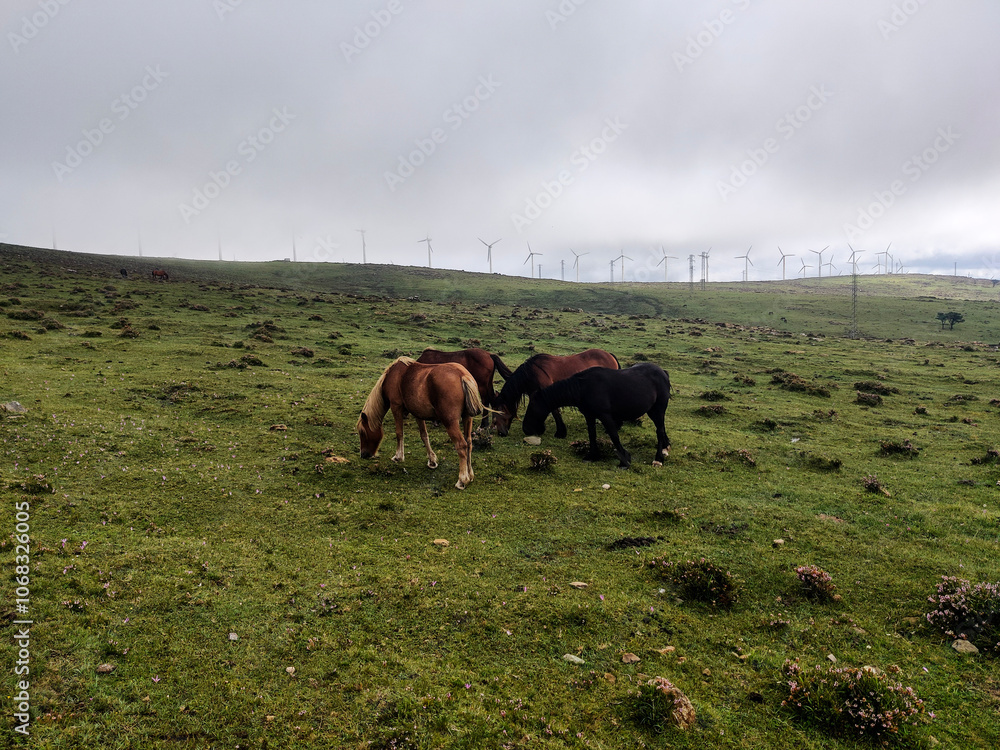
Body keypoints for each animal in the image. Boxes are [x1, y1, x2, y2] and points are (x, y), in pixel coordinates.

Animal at [356, 357, 485, 490]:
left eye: (363, 433)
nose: (363, 454)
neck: (392, 376)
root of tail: (462, 375)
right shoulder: (418, 414)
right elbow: (424, 436)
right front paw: (432, 461)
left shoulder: (396, 407)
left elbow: (399, 433)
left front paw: (398, 456)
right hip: (467, 417)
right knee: (469, 443)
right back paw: (470, 475)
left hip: (450, 422)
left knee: (461, 445)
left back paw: (462, 480)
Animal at [521, 362, 671, 469]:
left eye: (532, 407)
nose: (526, 428)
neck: (583, 388)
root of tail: (663, 372)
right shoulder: (590, 416)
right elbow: (592, 435)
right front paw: (592, 456)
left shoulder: (605, 416)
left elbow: (614, 436)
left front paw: (624, 460)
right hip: (653, 411)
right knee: (662, 429)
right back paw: (664, 449)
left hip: (658, 409)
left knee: (659, 431)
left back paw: (658, 458)